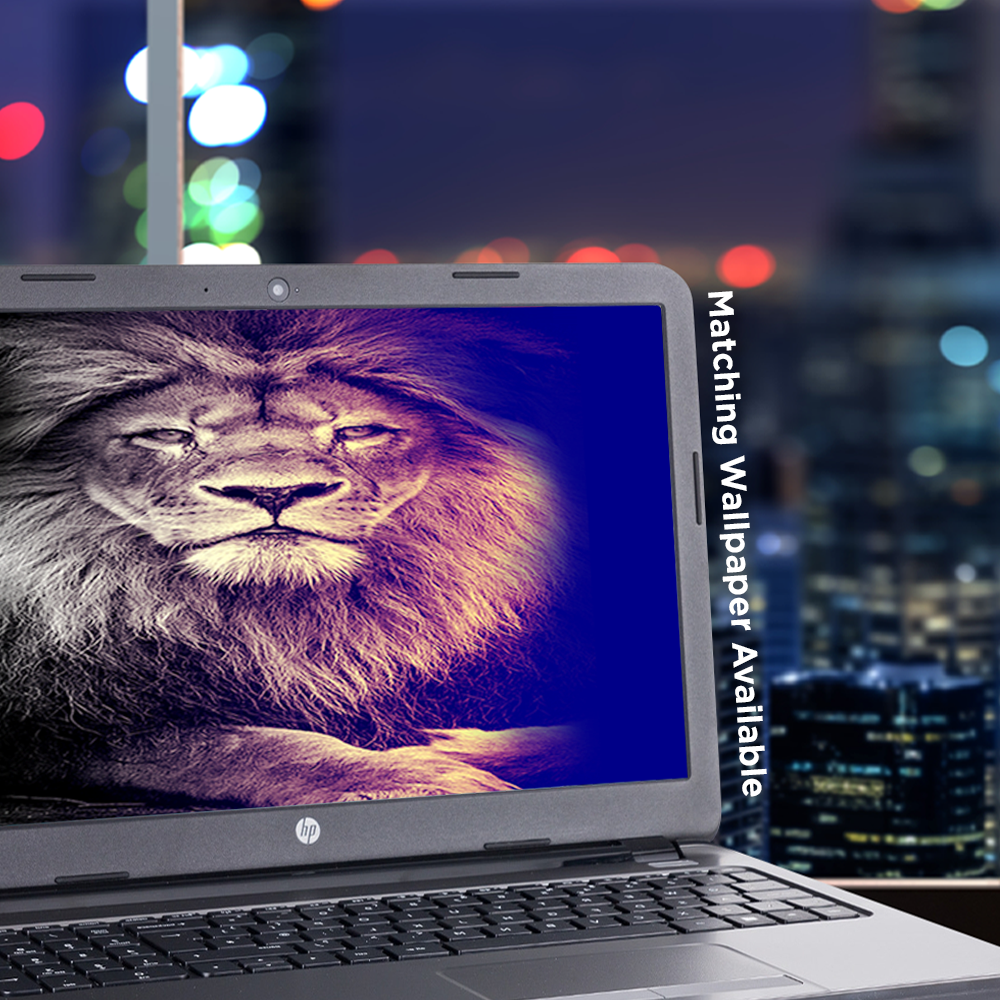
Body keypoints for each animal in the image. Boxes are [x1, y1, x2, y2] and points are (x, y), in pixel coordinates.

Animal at [0, 309, 594, 814]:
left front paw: (459, 751)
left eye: (357, 431)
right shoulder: (61, 727)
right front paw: (412, 774)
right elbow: (230, 746)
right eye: (168, 435)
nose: (274, 492)